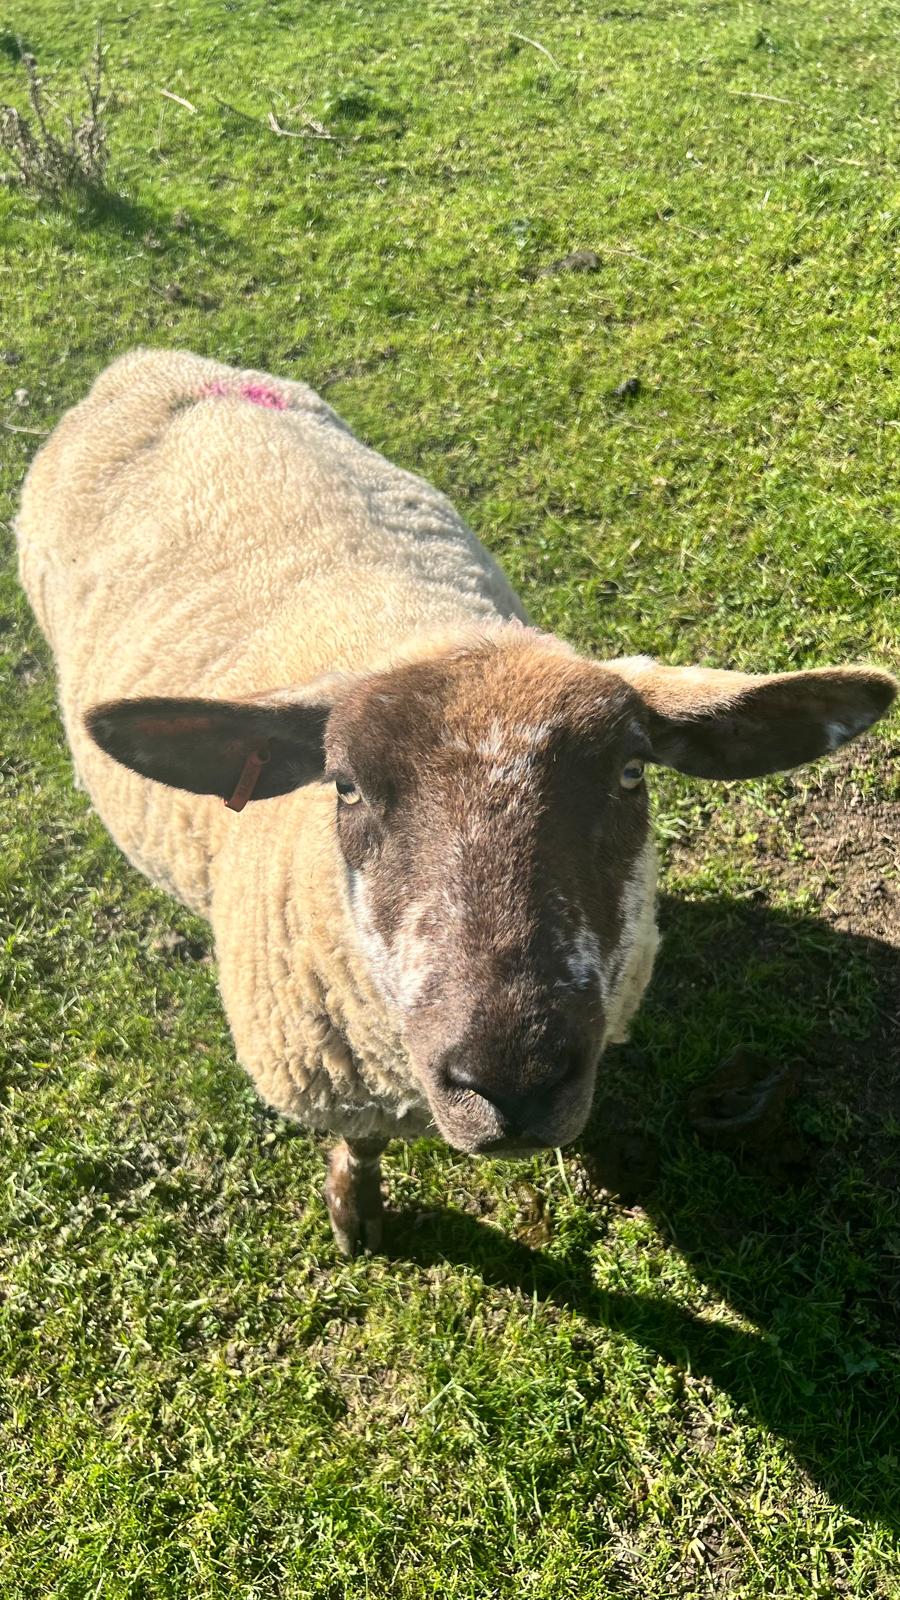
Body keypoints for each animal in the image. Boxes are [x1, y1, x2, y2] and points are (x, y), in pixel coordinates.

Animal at [16, 348, 897, 1253]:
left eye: (630, 773)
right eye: (344, 784)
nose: (513, 1083)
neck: (411, 628)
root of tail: (152, 361)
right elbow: (362, 1143)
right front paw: (356, 1213)